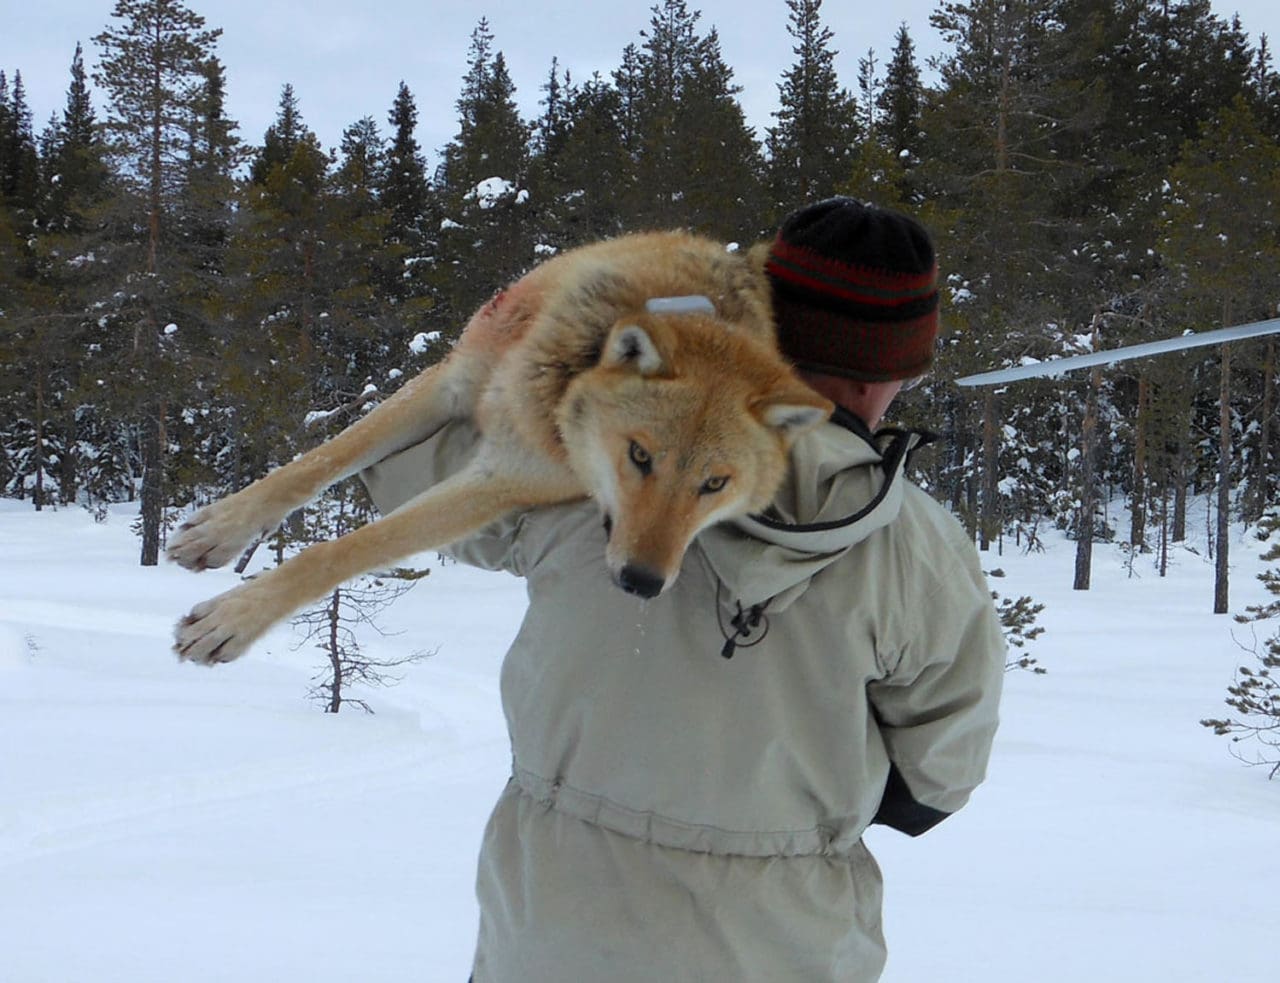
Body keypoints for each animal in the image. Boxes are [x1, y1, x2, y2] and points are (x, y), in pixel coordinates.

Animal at [167, 230, 829, 665]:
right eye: (640, 457)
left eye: (714, 484)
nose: (642, 582)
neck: (565, 370)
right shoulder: (451, 384)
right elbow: (316, 464)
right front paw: (217, 530)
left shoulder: (504, 475)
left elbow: (342, 551)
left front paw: (229, 621)